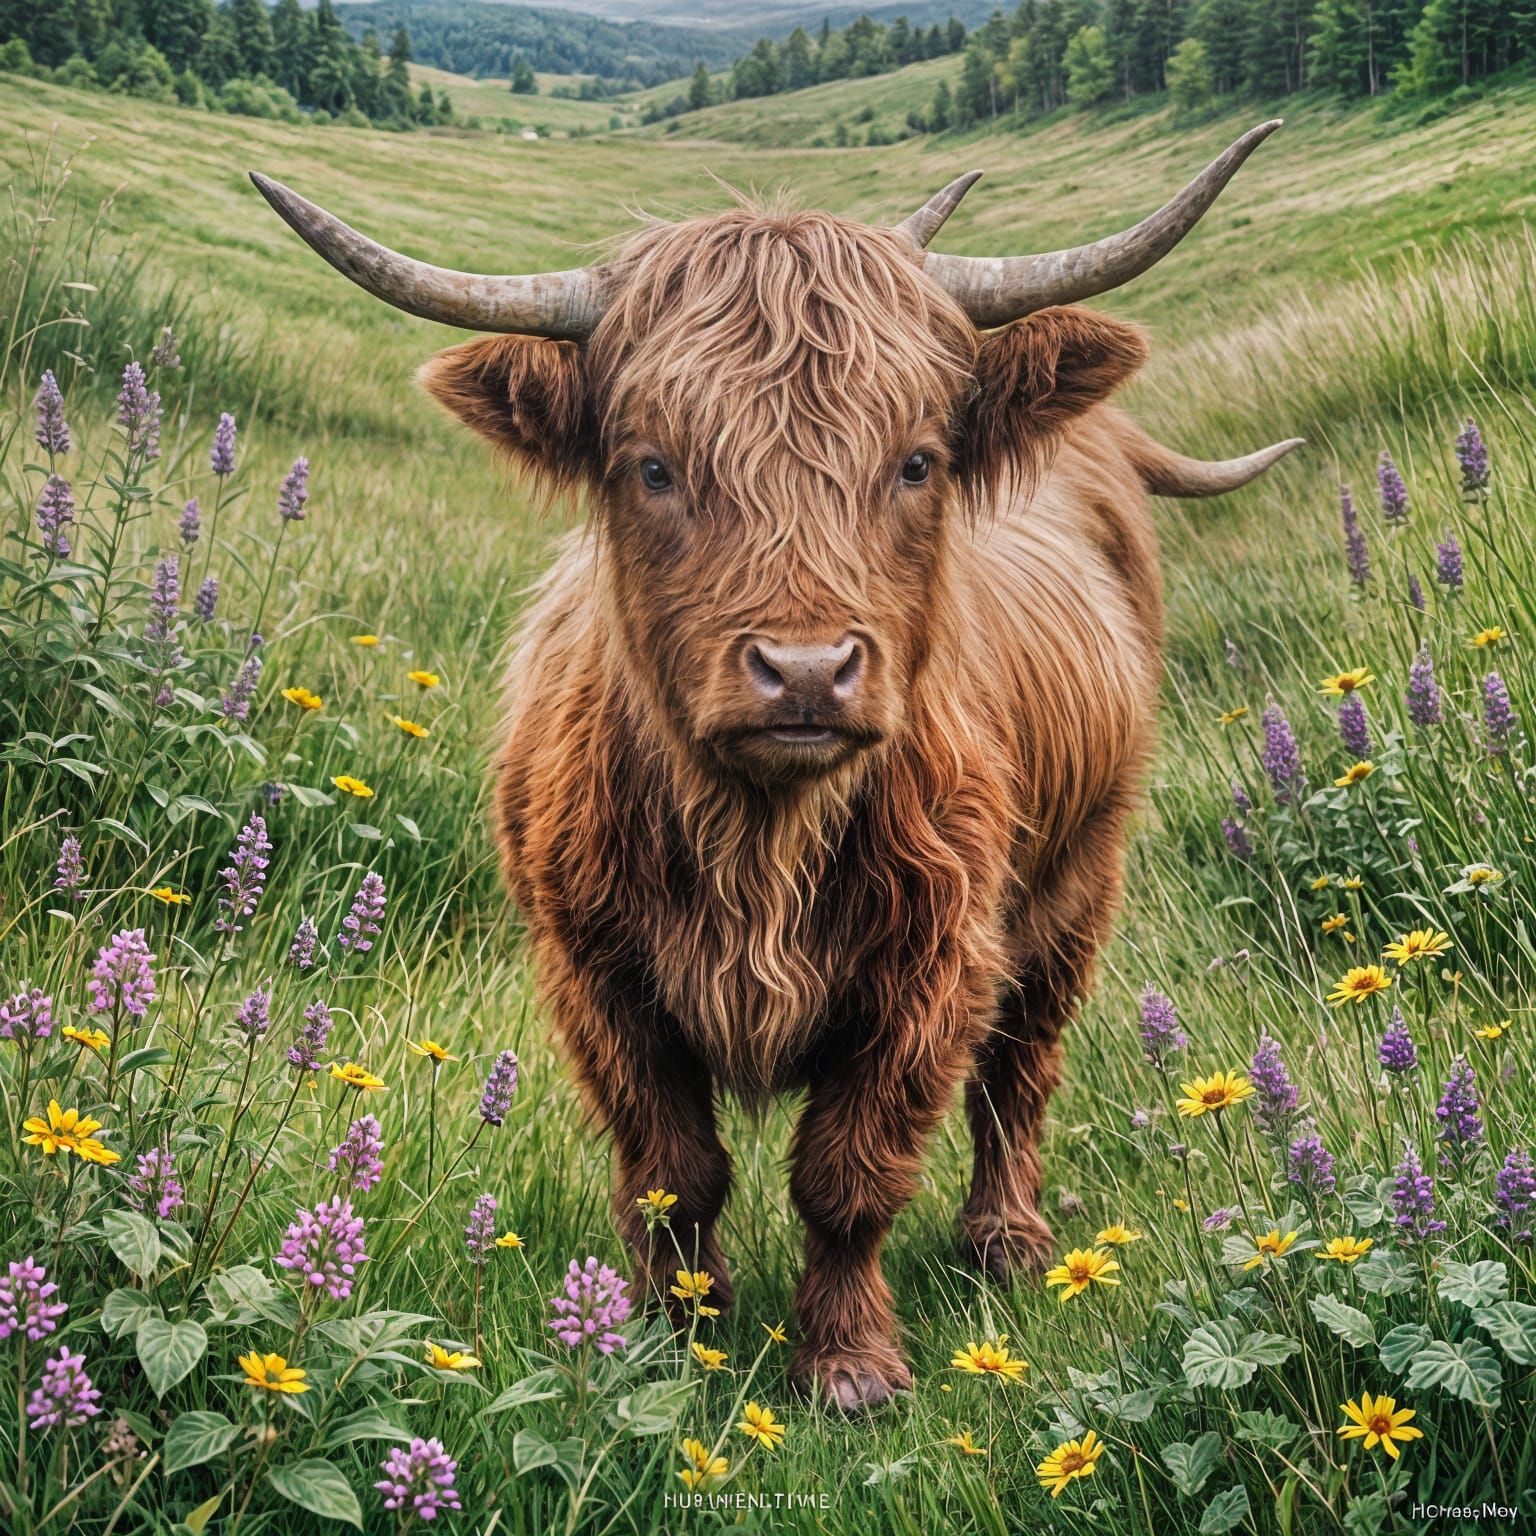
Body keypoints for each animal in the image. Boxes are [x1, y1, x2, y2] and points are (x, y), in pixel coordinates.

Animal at [252, 126, 1298, 1411]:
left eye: (917, 462)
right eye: (652, 467)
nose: (805, 671)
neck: (760, 836)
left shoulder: (931, 969)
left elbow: (848, 1175)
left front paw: (848, 1365)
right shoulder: (596, 972)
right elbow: (673, 1169)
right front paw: (664, 1335)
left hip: (1079, 880)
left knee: (1021, 1068)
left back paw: (1007, 1239)